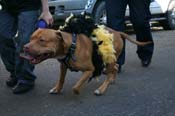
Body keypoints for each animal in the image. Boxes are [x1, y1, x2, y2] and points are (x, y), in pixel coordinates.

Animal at [21, 27, 150, 95]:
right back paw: (112, 79)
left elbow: (76, 86)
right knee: (116, 67)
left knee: (110, 73)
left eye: (42, 40)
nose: (25, 47)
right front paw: (57, 89)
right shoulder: (63, 67)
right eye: (31, 38)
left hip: (108, 61)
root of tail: (117, 32)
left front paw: (77, 91)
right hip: (111, 60)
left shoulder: (89, 70)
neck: (71, 47)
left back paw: (101, 89)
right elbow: (61, 79)